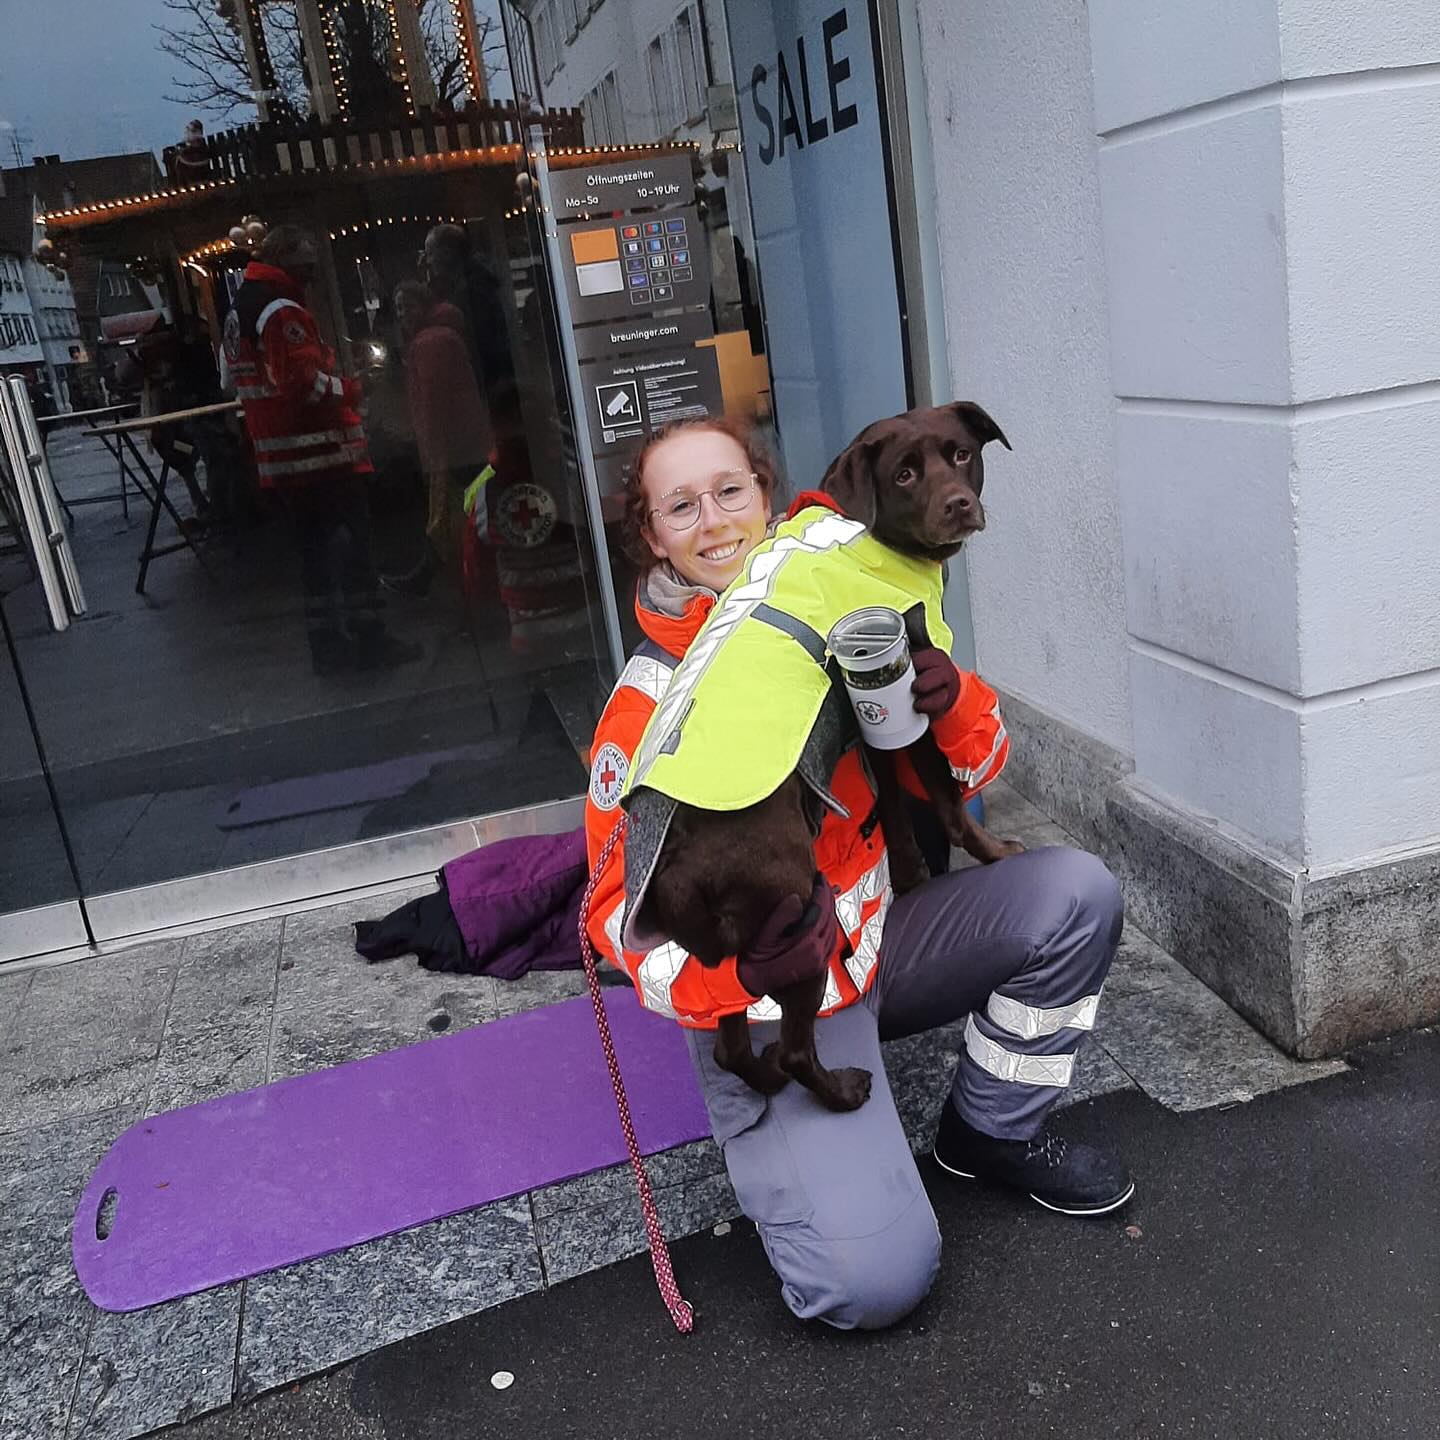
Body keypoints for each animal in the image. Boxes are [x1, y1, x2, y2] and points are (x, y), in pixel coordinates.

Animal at [642, 406, 1025, 1111]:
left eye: (961, 455)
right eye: (904, 474)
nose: (959, 505)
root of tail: (679, 870)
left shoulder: (880, 725)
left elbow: (897, 811)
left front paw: (911, 878)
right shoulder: (906, 703)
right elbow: (949, 806)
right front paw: (994, 854)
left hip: (726, 953)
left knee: (728, 1042)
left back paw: (764, 1078)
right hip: (795, 926)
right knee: (795, 1045)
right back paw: (840, 1090)